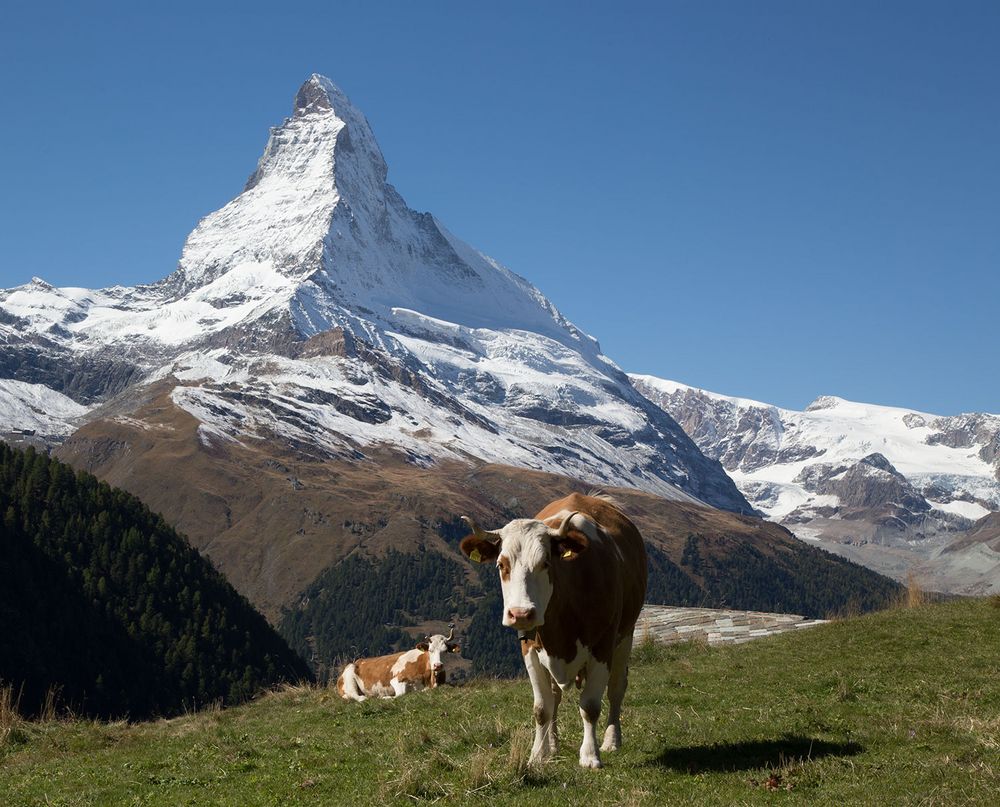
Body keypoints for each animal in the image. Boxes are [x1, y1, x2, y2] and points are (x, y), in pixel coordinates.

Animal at [460, 492, 648, 772]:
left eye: (545, 562)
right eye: (501, 564)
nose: (521, 613)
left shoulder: (602, 646)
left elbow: (590, 705)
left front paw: (590, 755)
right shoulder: (529, 648)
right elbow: (542, 707)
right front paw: (538, 754)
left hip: (626, 635)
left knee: (616, 688)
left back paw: (612, 740)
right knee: (556, 697)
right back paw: (553, 745)